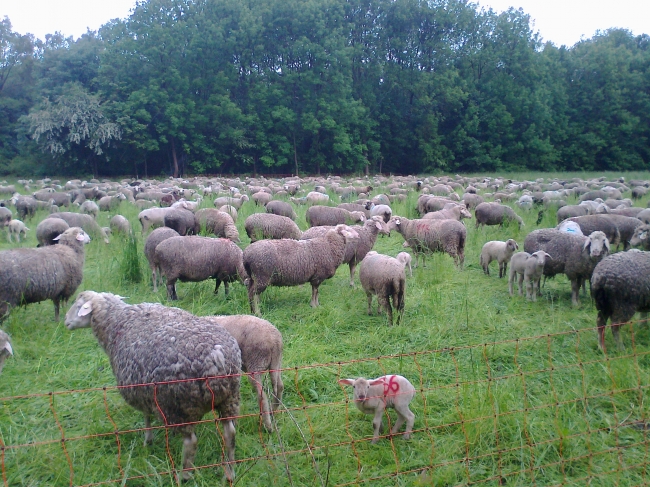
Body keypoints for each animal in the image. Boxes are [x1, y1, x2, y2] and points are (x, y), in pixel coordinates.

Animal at [64, 292, 242, 482]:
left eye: (78, 306)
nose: (66, 322)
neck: (116, 322)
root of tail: (218, 355)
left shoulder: (140, 390)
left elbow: (146, 417)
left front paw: (147, 441)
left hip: (178, 406)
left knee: (191, 442)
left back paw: (184, 475)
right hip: (229, 398)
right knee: (230, 433)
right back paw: (229, 472)